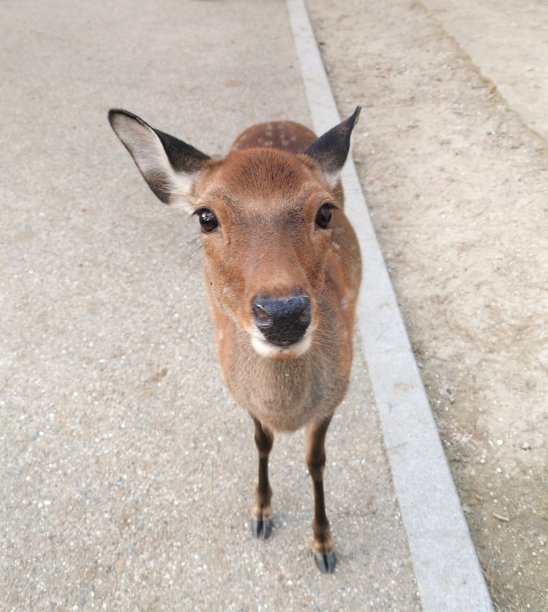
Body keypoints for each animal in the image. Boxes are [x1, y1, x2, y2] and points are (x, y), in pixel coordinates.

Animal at [108, 106, 362, 572]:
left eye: (325, 212)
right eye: (205, 216)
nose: (283, 314)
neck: (287, 412)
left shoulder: (336, 393)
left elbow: (316, 462)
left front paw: (323, 544)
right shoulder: (241, 394)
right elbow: (261, 443)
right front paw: (261, 513)